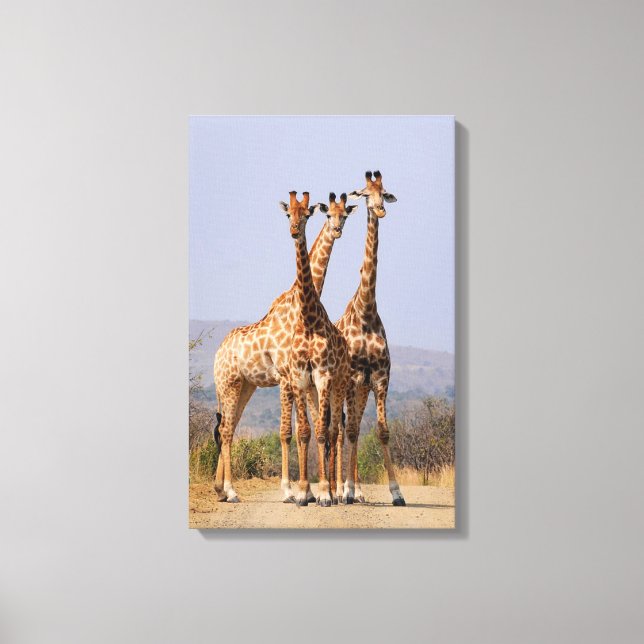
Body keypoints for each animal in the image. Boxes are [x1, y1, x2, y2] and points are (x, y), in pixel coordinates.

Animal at [212, 192, 356, 503]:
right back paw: (230, 490)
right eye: (328, 215)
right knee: (226, 429)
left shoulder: (300, 378)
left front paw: (309, 492)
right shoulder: (285, 376)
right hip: (228, 384)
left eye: (345, 215)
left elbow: (304, 429)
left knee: (228, 426)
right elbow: (287, 431)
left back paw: (220, 488)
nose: (337, 231)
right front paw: (292, 491)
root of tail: (217, 354)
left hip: (245, 385)